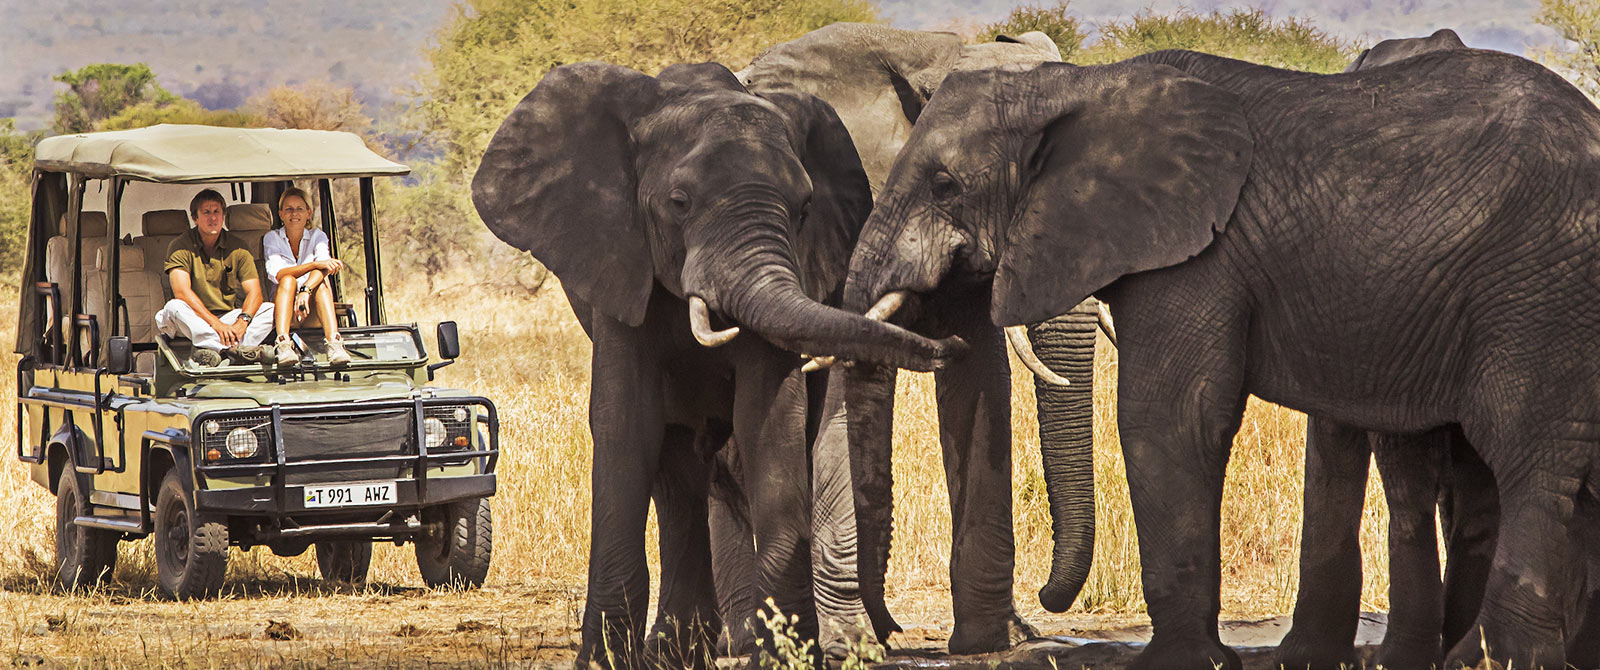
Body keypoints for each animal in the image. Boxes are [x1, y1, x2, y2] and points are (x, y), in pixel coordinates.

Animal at [467, 60, 953, 668]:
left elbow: (769, 417)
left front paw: (785, 654)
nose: (950, 346)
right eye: (679, 202)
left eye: (804, 209)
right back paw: (673, 651)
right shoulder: (620, 268)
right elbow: (626, 424)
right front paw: (604, 661)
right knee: (676, 471)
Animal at [755, 48, 1600, 670]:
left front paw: (1179, 662)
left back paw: (1499, 658)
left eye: (943, 184)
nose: (1049, 604)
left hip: (1540, 289)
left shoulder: (1198, 255)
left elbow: (1169, 414)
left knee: (1525, 457)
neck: (1074, 87)